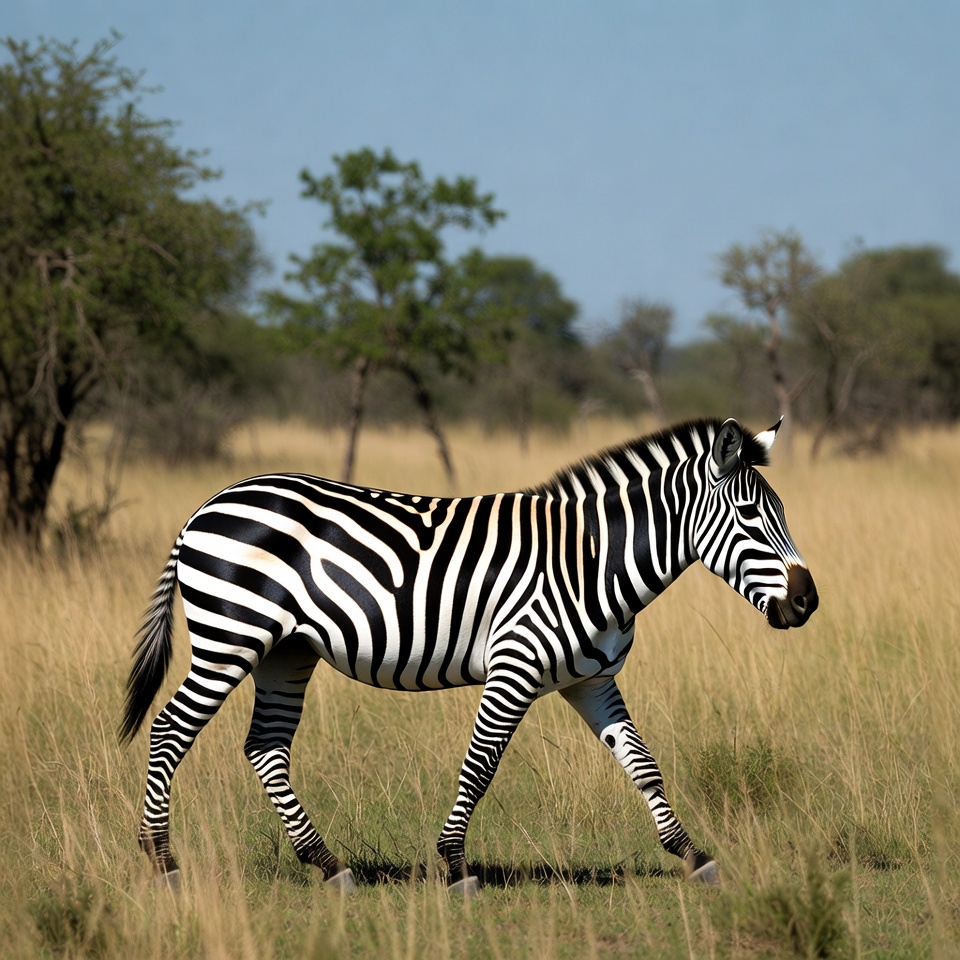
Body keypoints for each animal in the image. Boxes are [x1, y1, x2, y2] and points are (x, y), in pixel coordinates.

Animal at [120, 417, 817, 895]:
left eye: (782, 512)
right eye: (750, 515)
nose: (807, 602)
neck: (595, 562)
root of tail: (206, 506)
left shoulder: (591, 680)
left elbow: (644, 766)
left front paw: (694, 856)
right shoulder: (515, 663)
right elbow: (479, 767)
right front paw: (455, 867)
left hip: (286, 650)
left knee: (265, 748)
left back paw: (329, 865)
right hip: (230, 636)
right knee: (169, 730)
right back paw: (162, 862)